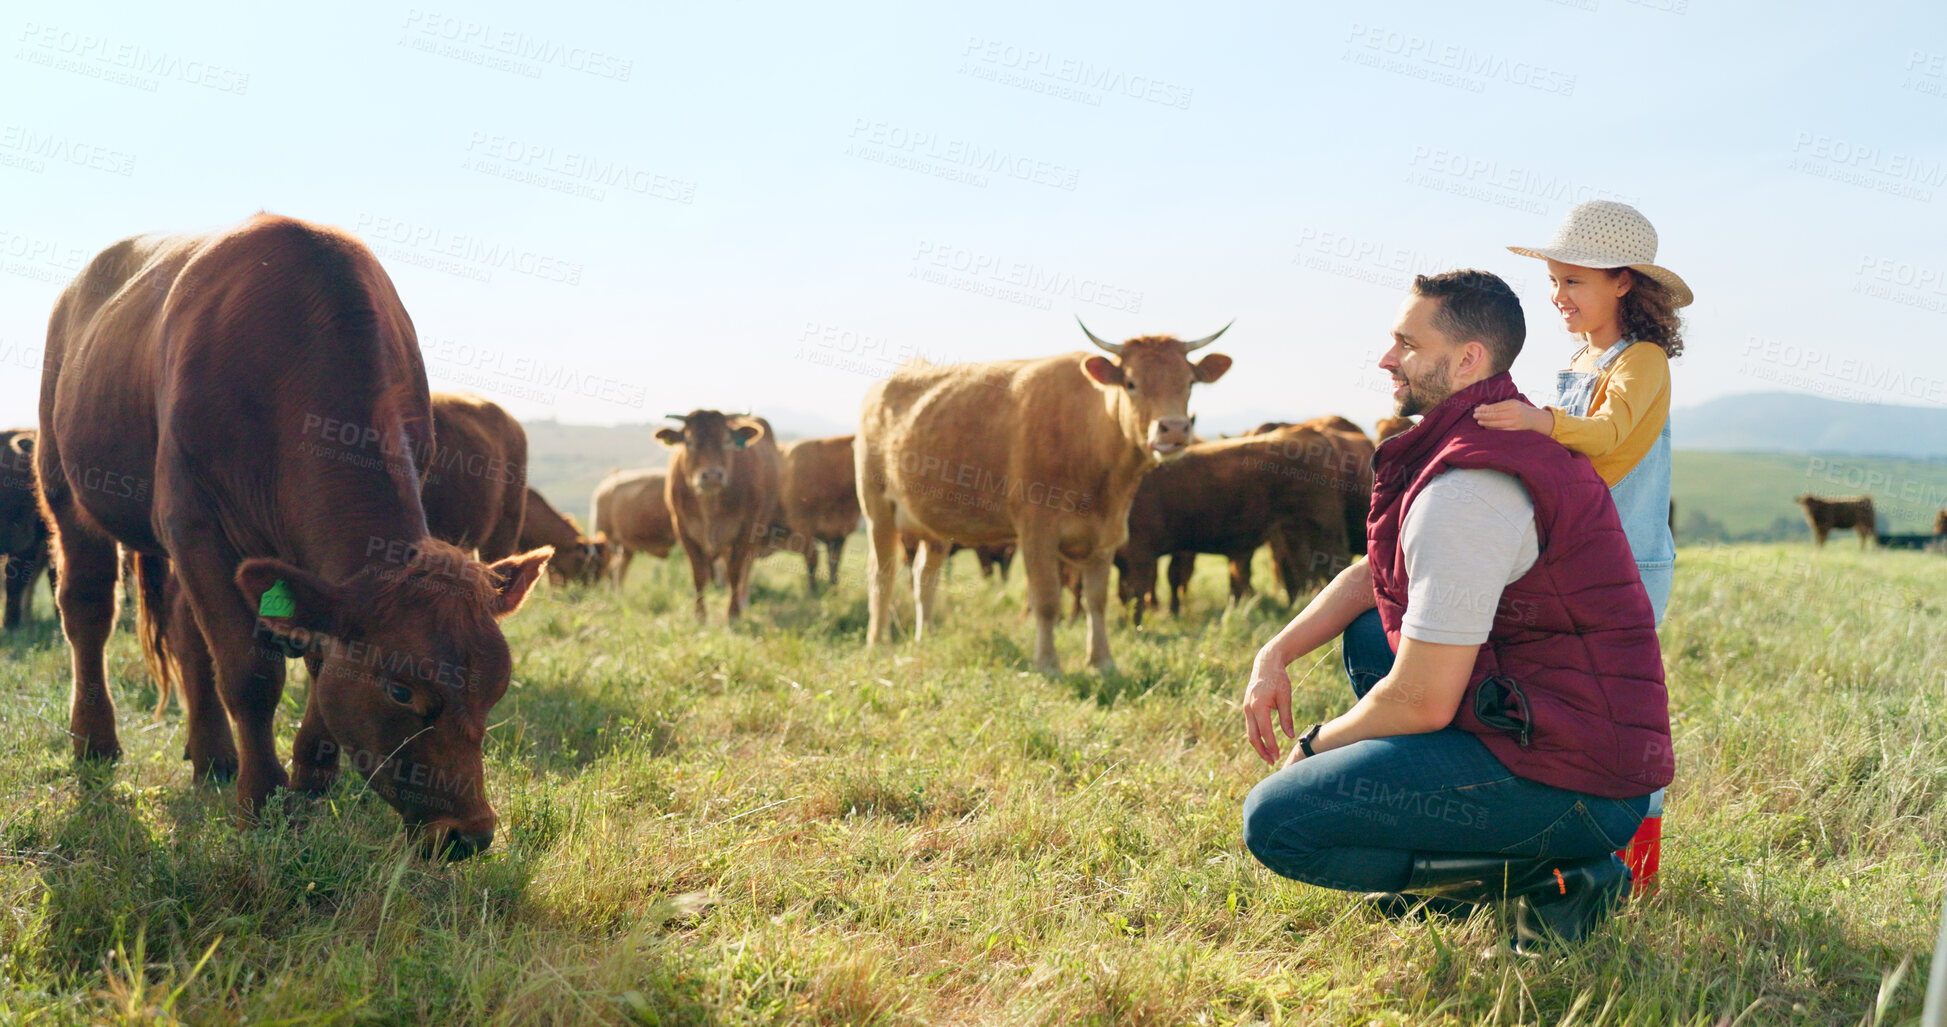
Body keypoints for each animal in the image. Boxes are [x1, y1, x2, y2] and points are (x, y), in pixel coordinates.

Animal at [39, 217, 556, 861]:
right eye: (400, 690)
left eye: (497, 687)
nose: (469, 833)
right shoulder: (196, 526)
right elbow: (250, 675)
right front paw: (262, 802)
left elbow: (318, 660)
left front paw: (311, 784)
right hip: (63, 483)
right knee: (87, 610)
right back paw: (96, 742)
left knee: (185, 629)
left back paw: (212, 755)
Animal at [661, 409, 782, 619]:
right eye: (689, 442)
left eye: (727, 441)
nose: (711, 476)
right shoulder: (683, 530)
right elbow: (699, 575)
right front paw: (700, 615)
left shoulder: (746, 530)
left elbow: (735, 571)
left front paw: (733, 613)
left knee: (745, 567)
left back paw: (742, 599)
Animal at [774, 436, 860, 596]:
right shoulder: (802, 526)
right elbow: (812, 559)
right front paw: (812, 592)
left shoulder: (839, 531)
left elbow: (834, 563)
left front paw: (834, 590)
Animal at [856, 321, 1222, 674]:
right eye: (1131, 383)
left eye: (1189, 383)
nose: (1174, 428)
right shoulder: (1037, 531)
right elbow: (1046, 601)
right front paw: (1048, 664)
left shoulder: (1106, 535)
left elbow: (1097, 600)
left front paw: (1102, 661)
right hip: (878, 510)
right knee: (881, 575)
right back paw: (878, 641)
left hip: (935, 525)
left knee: (924, 577)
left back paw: (926, 637)